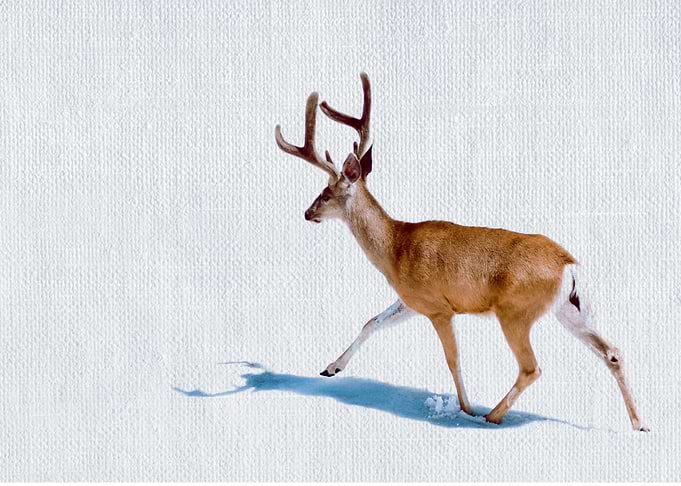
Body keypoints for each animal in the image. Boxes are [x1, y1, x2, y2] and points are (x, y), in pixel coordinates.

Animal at [274, 73, 649, 432]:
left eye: (325, 193)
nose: (307, 213)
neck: (395, 248)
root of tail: (569, 265)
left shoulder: (439, 307)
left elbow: (453, 360)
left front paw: (465, 408)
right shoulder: (412, 300)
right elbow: (371, 322)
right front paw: (331, 368)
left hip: (516, 311)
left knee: (531, 367)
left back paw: (491, 416)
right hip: (570, 309)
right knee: (612, 352)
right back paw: (640, 423)